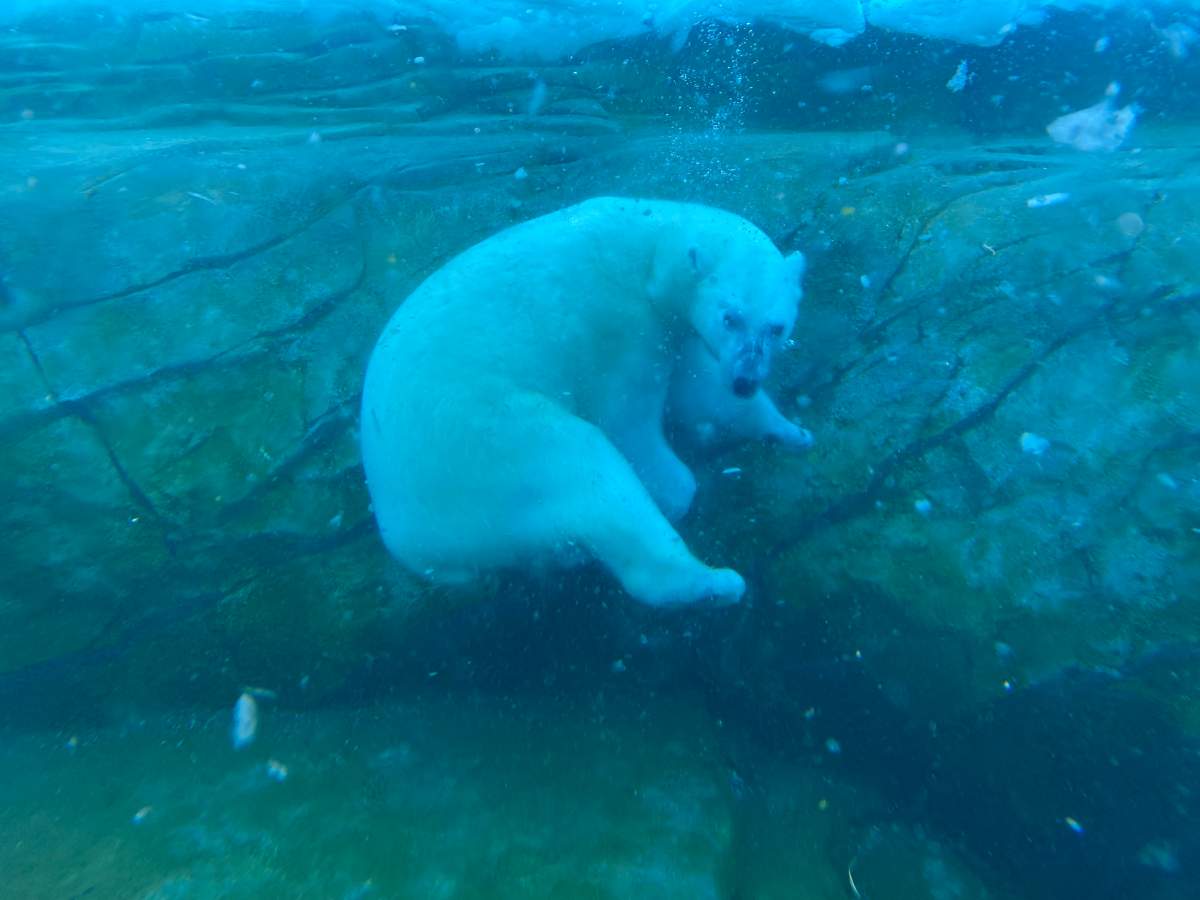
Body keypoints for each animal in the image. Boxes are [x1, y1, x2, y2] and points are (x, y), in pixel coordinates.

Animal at [361, 197, 809, 607]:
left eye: (776, 326)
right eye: (730, 317)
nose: (745, 380)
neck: (652, 247)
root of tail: (412, 543)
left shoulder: (671, 329)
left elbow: (701, 391)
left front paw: (791, 431)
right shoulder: (623, 326)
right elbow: (627, 420)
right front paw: (673, 486)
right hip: (476, 449)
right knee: (583, 465)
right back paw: (715, 582)